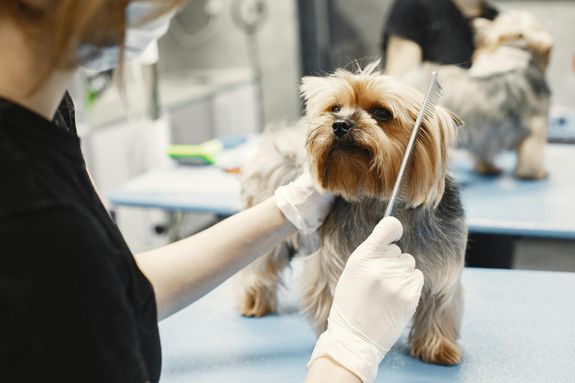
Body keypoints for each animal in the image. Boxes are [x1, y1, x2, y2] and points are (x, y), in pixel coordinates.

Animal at [237, 63, 468, 366]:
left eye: (382, 113)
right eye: (335, 108)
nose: (339, 124)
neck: (376, 199)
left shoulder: (443, 266)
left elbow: (440, 304)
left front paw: (438, 347)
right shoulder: (336, 261)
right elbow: (333, 294)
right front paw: (339, 333)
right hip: (266, 231)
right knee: (259, 266)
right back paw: (254, 302)